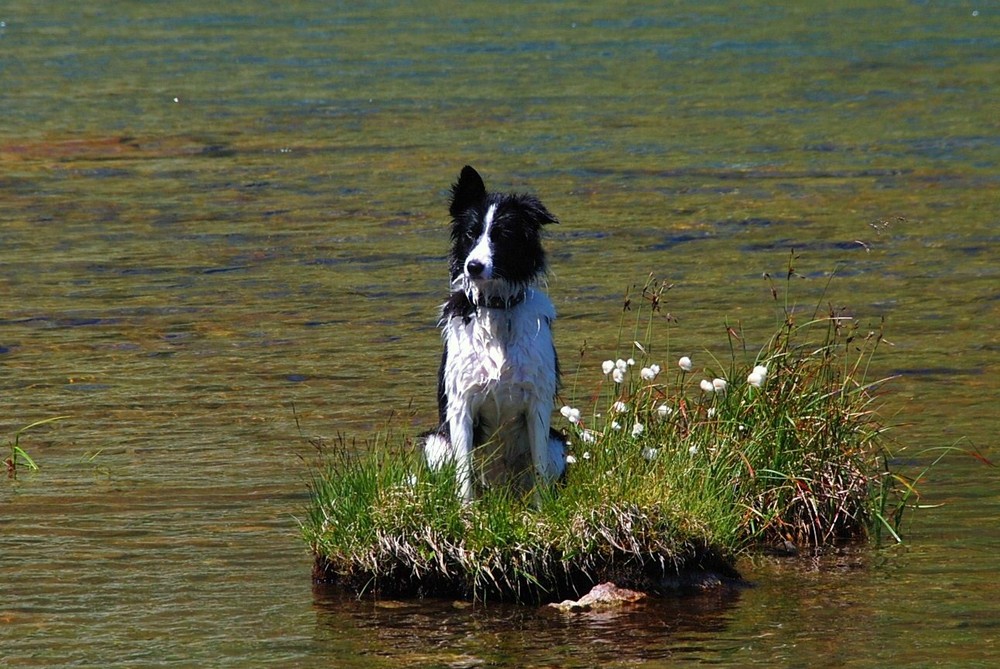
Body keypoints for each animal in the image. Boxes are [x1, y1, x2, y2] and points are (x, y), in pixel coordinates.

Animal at [422, 166, 568, 500]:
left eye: (503, 236)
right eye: (470, 234)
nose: (473, 266)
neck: (497, 308)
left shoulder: (537, 403)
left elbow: (539, 468)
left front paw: (542, 510)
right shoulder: (461, 405)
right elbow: (464, 474)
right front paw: (467, 511)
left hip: (557, 443)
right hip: (436, 442)